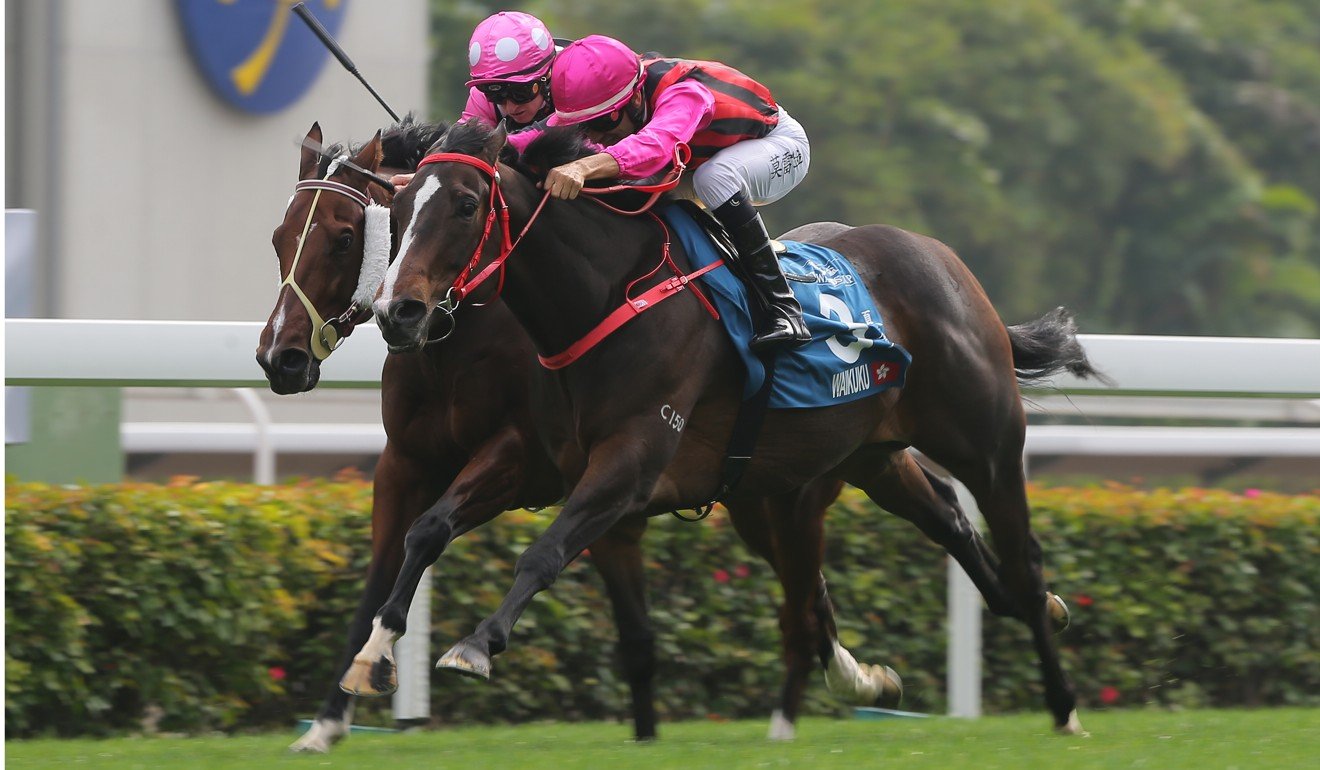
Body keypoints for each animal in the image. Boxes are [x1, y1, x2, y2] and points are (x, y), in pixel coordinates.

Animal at [257, 122, 918, 755]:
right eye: (279, 237)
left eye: (344, 237)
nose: (279, 358)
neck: (466, 331)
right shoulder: (405, 462)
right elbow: (383, 572)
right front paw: (329, 717)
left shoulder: (523, 458)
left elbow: (436, 527)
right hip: (753, 489)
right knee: (806, 583)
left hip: (783, 484)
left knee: (809, 584)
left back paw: (854, 681)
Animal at [372, 120, 1103, 734]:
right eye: (398, 212)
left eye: (466, 205)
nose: (397, 312)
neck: (610, 297)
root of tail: (943, 259)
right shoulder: (557, 466)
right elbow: (430, 528)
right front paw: (378, 646)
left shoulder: (629, 462)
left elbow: (542, 553)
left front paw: (473, 645)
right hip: (861, 456)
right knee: (946, 516)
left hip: (986, 445)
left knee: (1021, 554)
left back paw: (1064, 703)